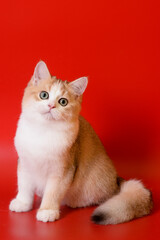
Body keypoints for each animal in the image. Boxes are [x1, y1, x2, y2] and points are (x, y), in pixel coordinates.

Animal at [9, 61, 152, 224]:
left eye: (63, 102)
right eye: (44, 95)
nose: (51, 106)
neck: (43, 130)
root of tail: (117, 181)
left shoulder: (62, 171)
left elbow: (52, 193)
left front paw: (47, 210)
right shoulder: (25, 164)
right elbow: (24, 187)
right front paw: (23, 203)